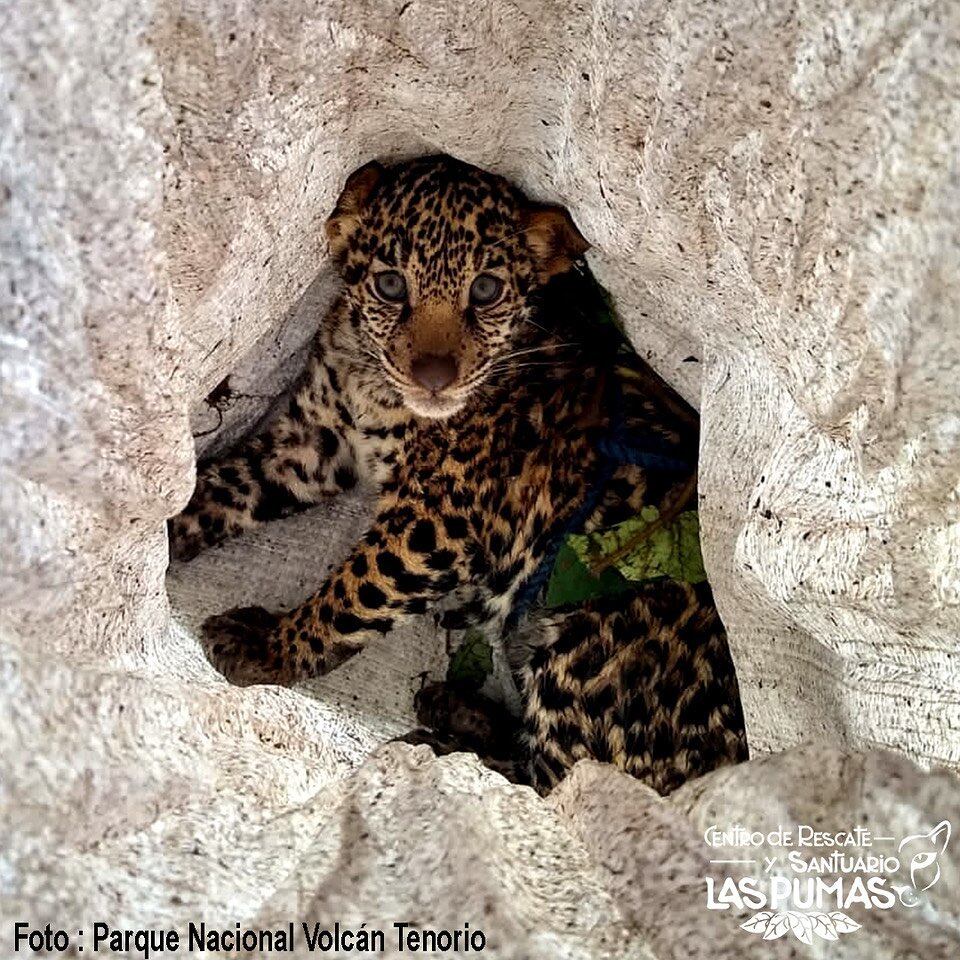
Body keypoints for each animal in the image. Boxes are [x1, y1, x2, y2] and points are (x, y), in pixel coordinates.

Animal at [169, 154, 747, 795]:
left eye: (486, 290)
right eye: (391, 285)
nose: (435, 377)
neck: (374, 388)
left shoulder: (437, 520)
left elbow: (353, 592)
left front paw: (269, 648)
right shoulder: (311, 443)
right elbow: (225, 485)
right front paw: (151, 536)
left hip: (598, 639)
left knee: (559, 785)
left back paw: (436, 745)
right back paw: (452, 709)